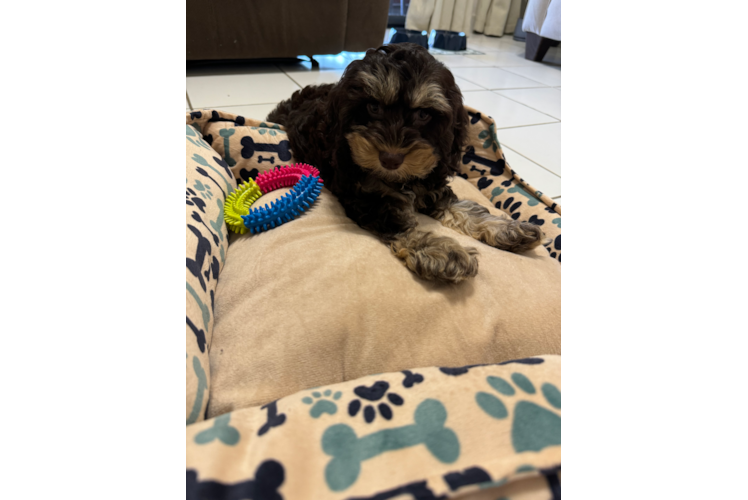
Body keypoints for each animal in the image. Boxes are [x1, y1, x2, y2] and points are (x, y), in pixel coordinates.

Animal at [268, 43, 544, 284]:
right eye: (373, 107)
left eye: (423, 114)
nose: (390, 159)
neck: (400, 181)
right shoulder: (365, 197)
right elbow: (399, 223)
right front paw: (442, 252)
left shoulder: (432, 184)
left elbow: (464, 208)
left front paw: (507, 228)